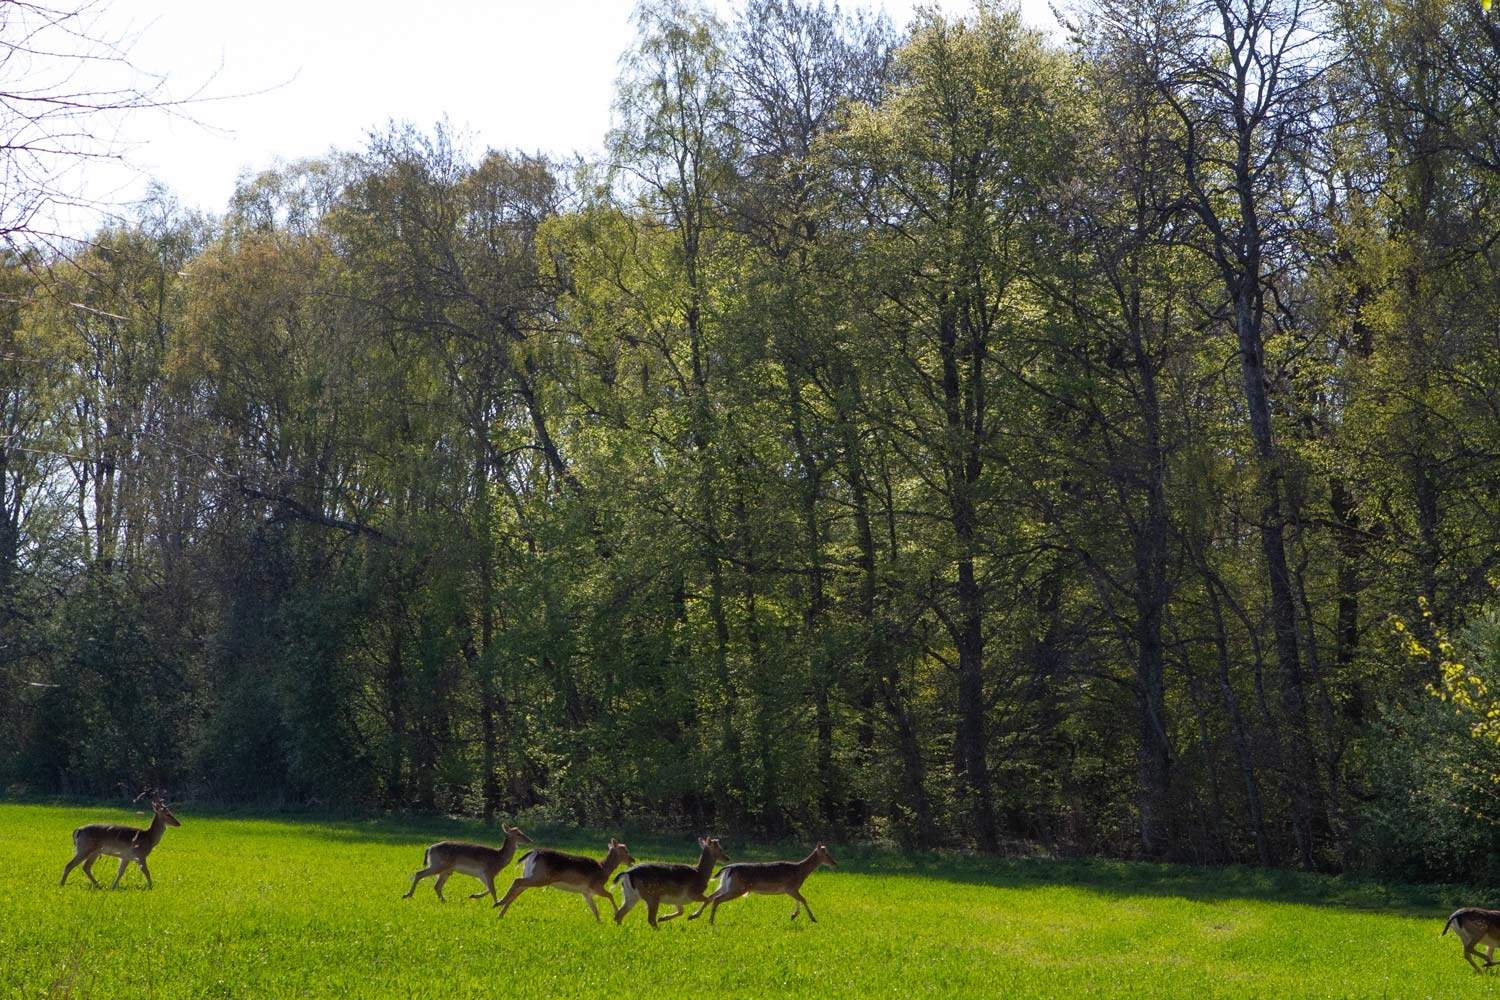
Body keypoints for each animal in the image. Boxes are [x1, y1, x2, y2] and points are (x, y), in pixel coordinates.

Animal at [405, 827, 534, 905]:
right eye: (518, 833)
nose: (530, 840)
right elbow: (493, 890)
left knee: (437, 886)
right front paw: (496, 904)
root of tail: (429, 849)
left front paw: (473, 895)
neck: (499, 859)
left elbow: (489, 889)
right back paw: (407, 895)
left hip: (446, 870)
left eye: (521, 831)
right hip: (438, 865)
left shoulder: (482, 875)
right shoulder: (488, 872)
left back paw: (444, 901)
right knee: (419, 874)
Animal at [492, 839, 633, 923]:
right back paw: (499, 903)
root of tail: (532, 852)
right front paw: (616, 915)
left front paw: (600, 923)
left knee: (517, 889)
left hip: (531, 874)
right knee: (517, 881)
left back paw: (500, 912)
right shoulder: (596, 886)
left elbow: (594, 908)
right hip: (540, 877)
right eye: (625, 850)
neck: (603, 869)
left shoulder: (586, 892)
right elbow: (610, 895)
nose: (633, 859)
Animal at [687, 839, 840, 929]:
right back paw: (710, 921)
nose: (835, 863)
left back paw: (694, 916)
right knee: (716, 899)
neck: (801, 871)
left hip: (726, 886)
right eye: (826, 854)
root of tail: (728, 869)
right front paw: (812, 918)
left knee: (710, 897)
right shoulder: (791, 887)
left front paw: (794, 915)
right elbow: (803, 899)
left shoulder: (791, 889)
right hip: (738, 888)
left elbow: (799, 900)